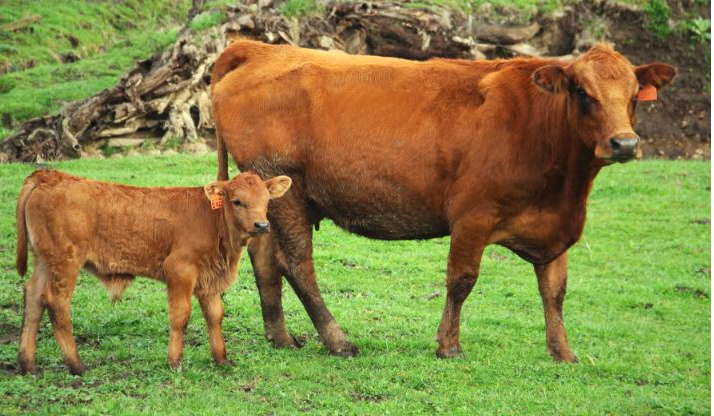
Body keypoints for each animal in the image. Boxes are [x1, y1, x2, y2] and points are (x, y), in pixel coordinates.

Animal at [15, 169, 290, 374]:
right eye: (237, 201)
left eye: (267, 201)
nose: (262, 225)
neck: (214, 222)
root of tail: (51, 176)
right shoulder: (180, 270)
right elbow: (181, 316)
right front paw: (175, 361)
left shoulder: (208, 279)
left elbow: (215, 315)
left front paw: (221, 359)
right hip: (66, 262)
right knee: (56, 302)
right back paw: (76, 365)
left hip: (45, 261)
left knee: (33, 299)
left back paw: (28, 364)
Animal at [210, 40, 672, 362]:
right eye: (581, 91)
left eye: (634, 94)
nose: (624, 143)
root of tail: (259, 48)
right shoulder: (473, 217)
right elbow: (462, 280)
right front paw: (448, 345)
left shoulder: (554, 226)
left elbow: (554, 291)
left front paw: (563, 352)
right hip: (289, 192)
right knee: (296, 265)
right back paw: (338, 340)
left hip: (269, 197)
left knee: (266, 261)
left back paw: (282, 337)